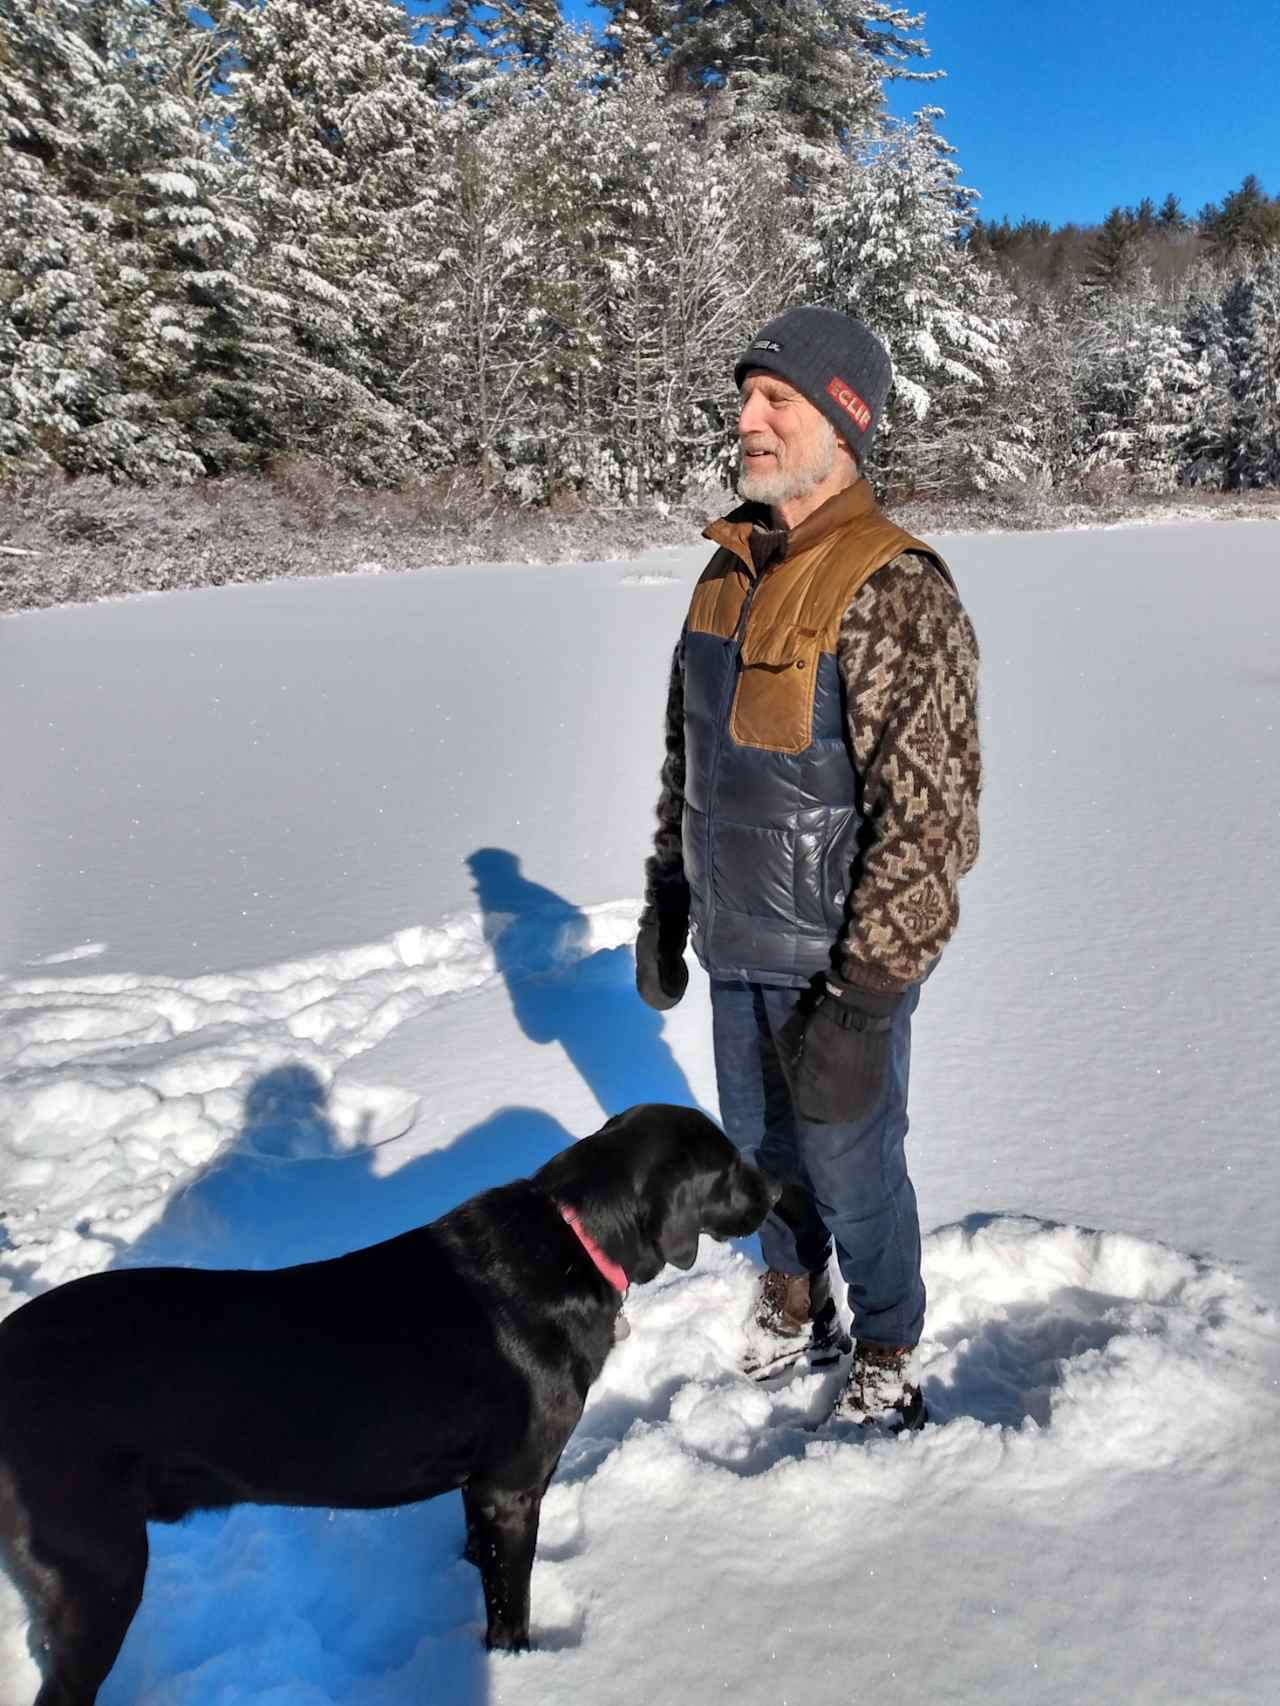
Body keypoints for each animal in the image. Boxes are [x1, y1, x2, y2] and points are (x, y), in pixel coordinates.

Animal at [0, 1098, 781, 1699]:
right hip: (99, 1569)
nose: (777, 1191)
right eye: (727, 1165)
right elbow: (511, 1607)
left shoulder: (480, 1488)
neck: (575, 1239)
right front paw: (519, 1672)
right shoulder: (512, 1486)